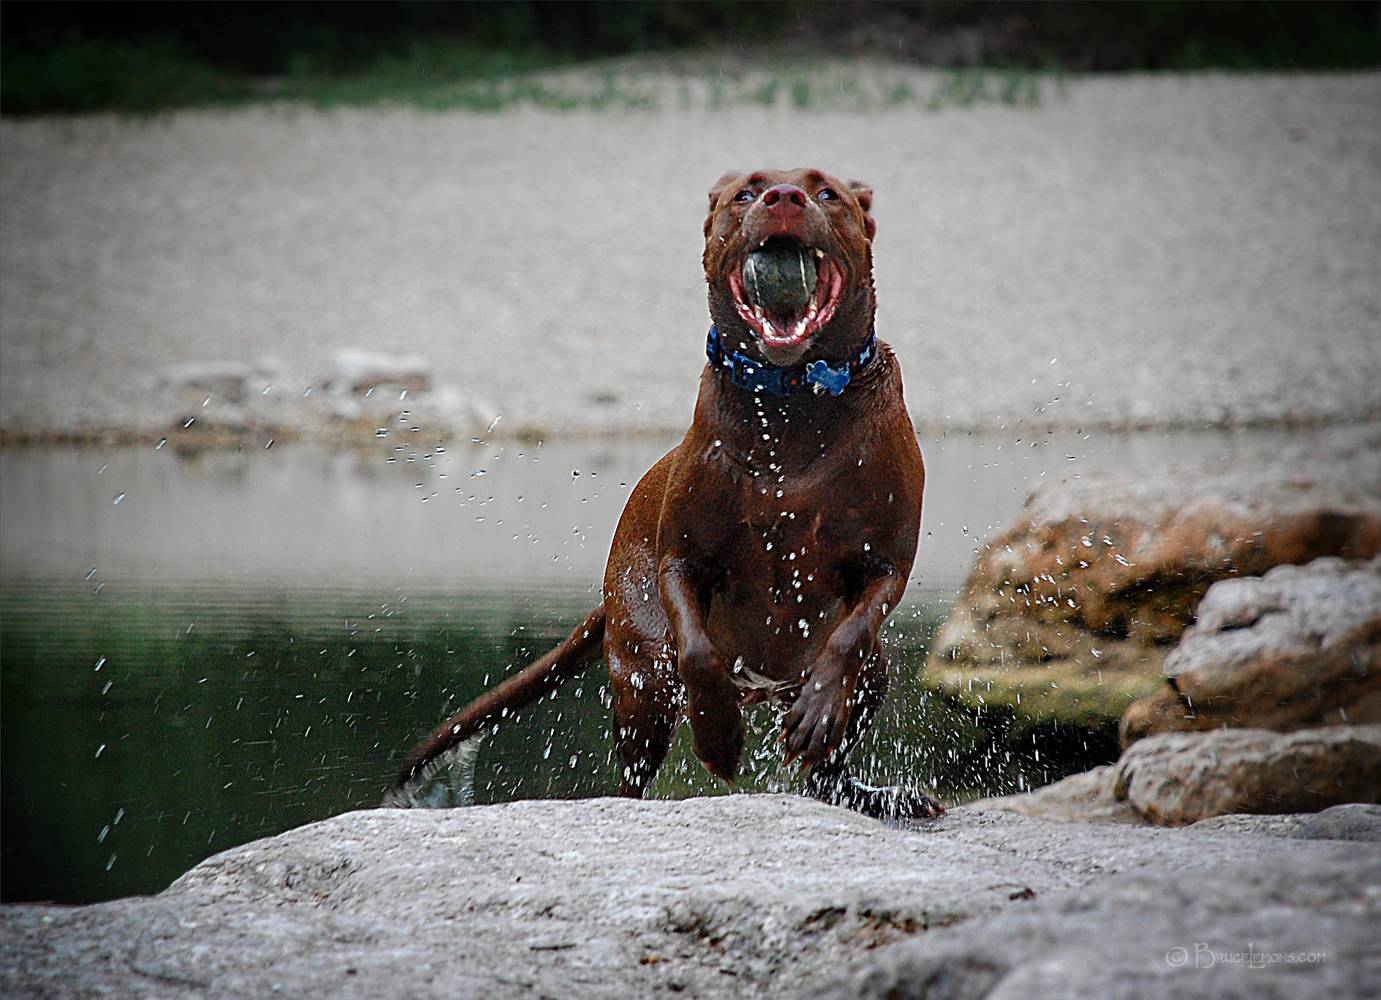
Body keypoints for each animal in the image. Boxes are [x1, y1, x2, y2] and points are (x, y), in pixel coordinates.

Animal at [396, 168, 941, 818]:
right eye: (745, 192)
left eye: (828, 192)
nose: (783, 198)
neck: (791, 406)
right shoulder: (682, 562)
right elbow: (699, 652)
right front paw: (717, 732)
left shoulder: (885, 564)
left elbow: (849, 637)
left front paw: (817, 710)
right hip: (642, 677)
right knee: (632, 776)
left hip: (873, 673)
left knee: (826, 762)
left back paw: (879, 793)